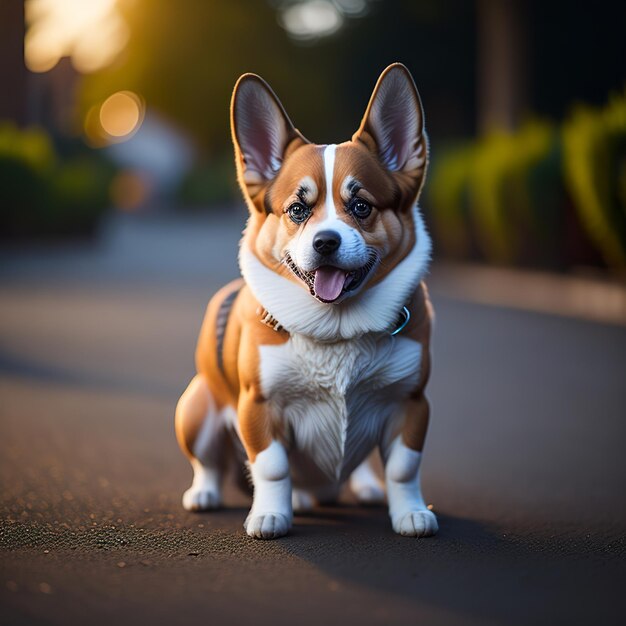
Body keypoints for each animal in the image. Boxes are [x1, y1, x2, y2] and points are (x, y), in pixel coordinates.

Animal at [176, 66, 436, 540]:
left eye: (361, 206)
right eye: (298, 210)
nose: (326, 242)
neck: (337, 328)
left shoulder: (410, 403)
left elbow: (404, 468)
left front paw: (409, 512)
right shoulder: (259, 407)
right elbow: (273, 467)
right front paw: (270, 515)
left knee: (362, 465)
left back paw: (364, 486)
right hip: (196, 408)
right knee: (208, 462)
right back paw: (207, 493)